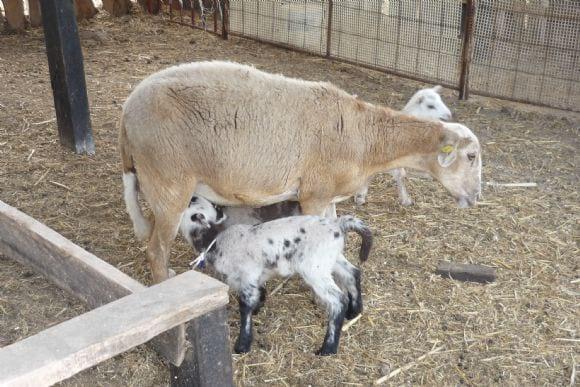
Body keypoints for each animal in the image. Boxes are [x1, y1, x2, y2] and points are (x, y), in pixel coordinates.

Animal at [180, 206, 372, 358]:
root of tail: (337, 225)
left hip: (314, 267)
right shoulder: (255, 275)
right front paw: (258, 307)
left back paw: (328, 349)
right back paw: (354, 312)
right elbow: (258, 293)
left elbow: (245, 306)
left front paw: (243, 345)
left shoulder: (248, 274)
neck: (216, 240)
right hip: (331, 259)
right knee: (352, 273)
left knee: (338, 300)